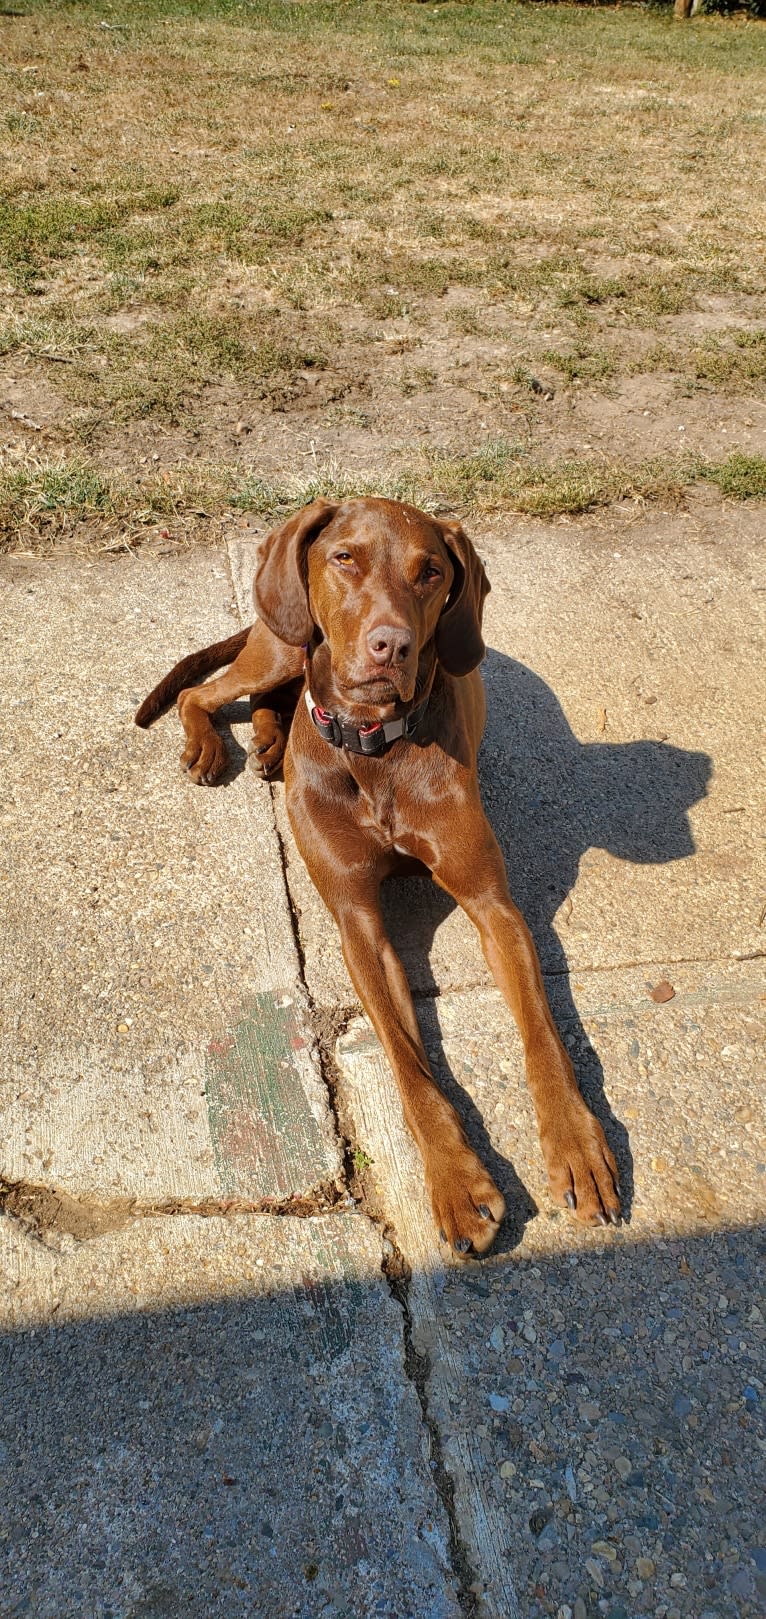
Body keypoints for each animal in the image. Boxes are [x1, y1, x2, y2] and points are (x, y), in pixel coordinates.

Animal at [134, 498, 618, 1256]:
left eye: (431, 572)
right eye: (345, 558)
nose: (393, 646)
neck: (372, 747)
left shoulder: (495, 907)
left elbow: (543, 1039)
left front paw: (575, 1146)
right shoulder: (360, 926)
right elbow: (411, 1071)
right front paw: (456, 1182)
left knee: (268, 698)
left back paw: (272, 740)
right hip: (278, 644)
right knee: (205, 691)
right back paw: (220, 743)